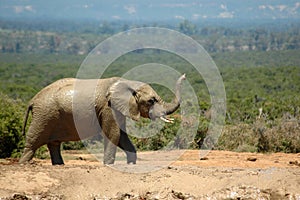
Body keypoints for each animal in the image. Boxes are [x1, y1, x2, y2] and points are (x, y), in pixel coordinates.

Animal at [19, 74, 185, 165]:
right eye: (151, 101)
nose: (184, 76)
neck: (127, 82)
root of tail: (32, 100)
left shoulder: (118, 109)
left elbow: (122, 136)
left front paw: (131, 164)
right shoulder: (108, 107)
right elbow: (113, 134)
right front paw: (109, 165)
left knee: (53, 144)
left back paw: (59, 165)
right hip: (44, 114)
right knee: (33, 142)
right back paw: (23, 164)